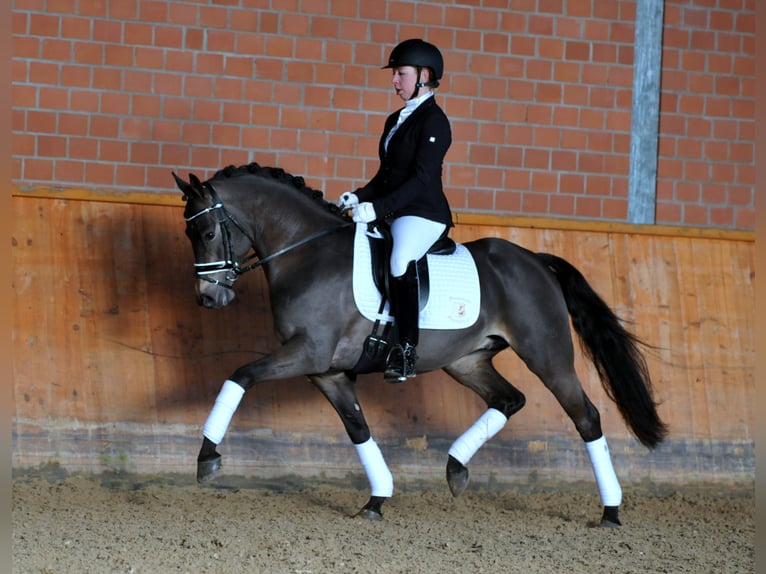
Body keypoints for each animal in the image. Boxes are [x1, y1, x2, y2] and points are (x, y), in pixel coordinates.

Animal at [172, 162, 667, 527]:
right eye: (189, 235)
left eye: (208, 233)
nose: (209, 298)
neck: (305, 253)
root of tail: (534, 261)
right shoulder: (326, 371)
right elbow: (358, 429)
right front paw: (376, 500)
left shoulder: (308, 352)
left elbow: (240, 376)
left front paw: (207, 458)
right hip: (467, 361)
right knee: (509, 400)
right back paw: (455, 469)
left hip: (548, 357)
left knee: (586, 417)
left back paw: (611, 511)